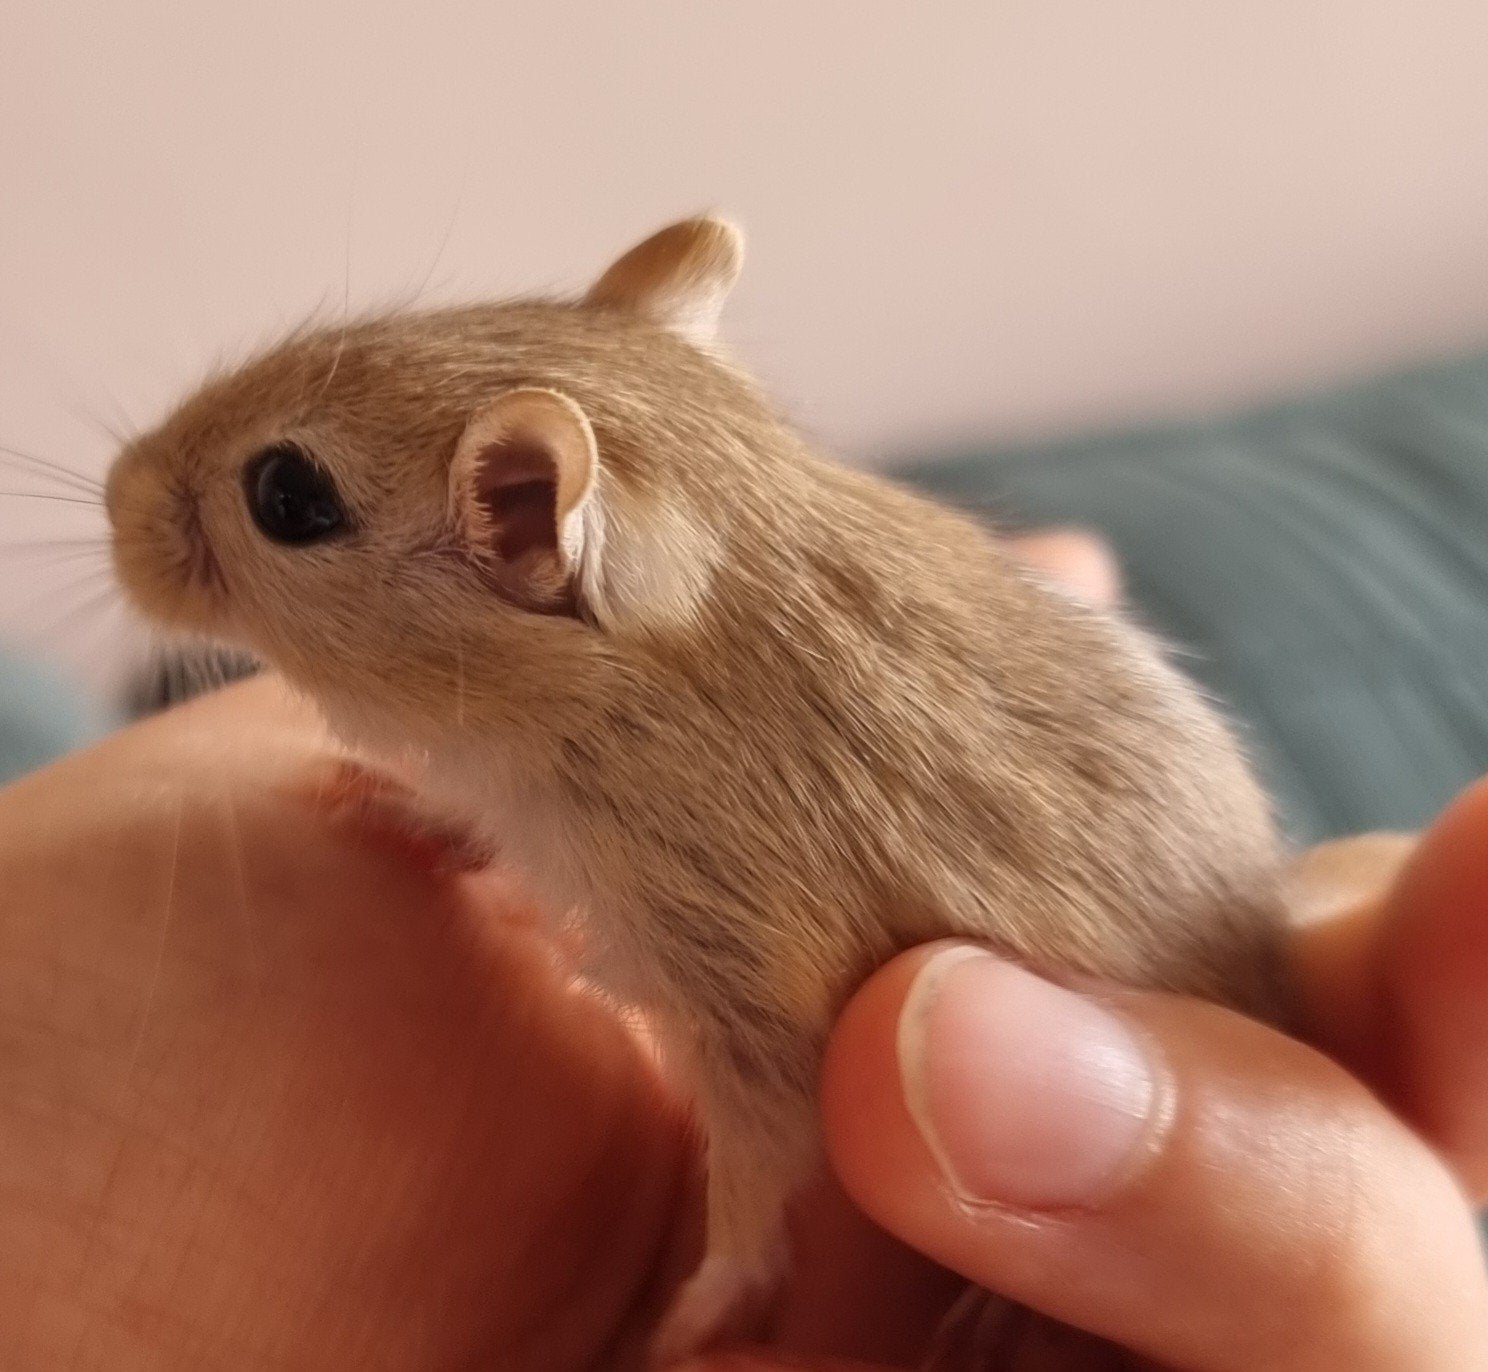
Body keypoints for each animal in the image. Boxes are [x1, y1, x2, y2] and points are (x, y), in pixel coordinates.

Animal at [106, 217, 1291, 1364]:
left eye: (286, 497)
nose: (115, 493)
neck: (615, 694)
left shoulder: (757, 1013)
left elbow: (754, 1190)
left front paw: (694, 1319)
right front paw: (368, 796)